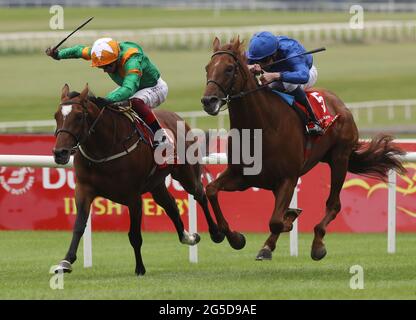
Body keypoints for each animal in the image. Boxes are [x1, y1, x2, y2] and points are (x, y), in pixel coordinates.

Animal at [54, 83, 224, 276]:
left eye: (79, 116)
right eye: (56, 116)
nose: (60, 153)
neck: (105, 149)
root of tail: (177, 117)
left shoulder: (133, 197)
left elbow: (134, 235)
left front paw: (140, 268)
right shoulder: (84, 189)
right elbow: (79, 226)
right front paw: (66, 262)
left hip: (186, 173)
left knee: (200, 194)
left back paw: (216, 233)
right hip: (157, 184)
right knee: (171, 205)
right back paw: (188, 236)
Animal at [200, 37, 404, 262]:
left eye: (229, 69)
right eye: (207, 68)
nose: (208, 101)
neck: (261, 127)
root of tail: (338, 103)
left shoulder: (288, 178)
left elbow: (276, 221)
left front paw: (288, 222)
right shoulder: (242, 177)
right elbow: (211, 190)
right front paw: (233, 237)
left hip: (339, 158)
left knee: (334, 204)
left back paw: (317, 244)